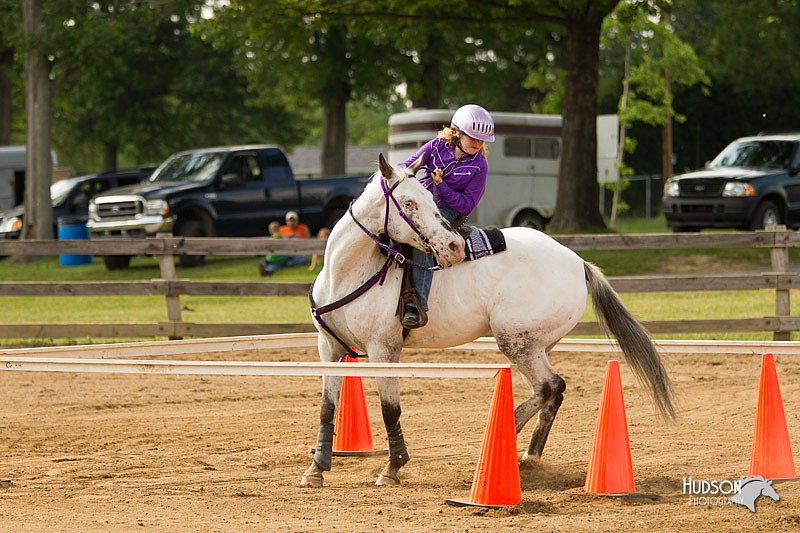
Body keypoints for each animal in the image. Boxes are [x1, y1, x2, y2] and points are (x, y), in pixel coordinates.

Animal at [300, 153, 676, 486]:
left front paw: (392, 468)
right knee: (550, 390)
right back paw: (529, 456)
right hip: (535, 346)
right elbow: (327, 407)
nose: (453, 246)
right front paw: (316, 469)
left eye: (428, 198)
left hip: (516, 341)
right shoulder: (329, 348)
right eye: (408, 203)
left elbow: (390, 409)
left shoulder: (384, 350)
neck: (348, 271)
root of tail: (578, 262)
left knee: (550, 386)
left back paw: (508, 430)